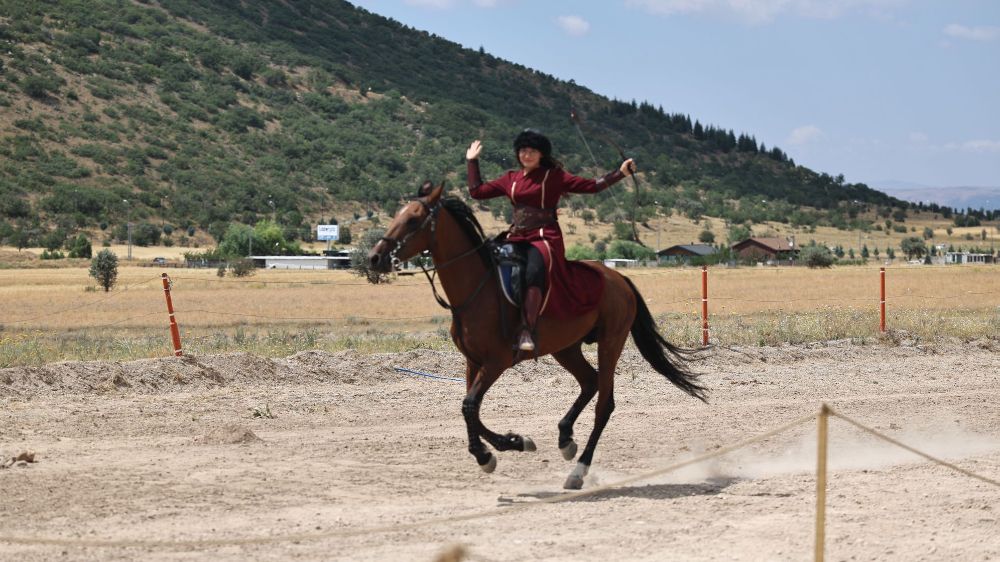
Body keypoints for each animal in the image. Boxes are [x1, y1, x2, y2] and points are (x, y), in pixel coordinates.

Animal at [372, 183, 708, 486]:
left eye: (413, 219)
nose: (375, 258)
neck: (478, 290)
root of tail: (619, 278)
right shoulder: (472, 362)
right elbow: (471, 410)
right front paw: (508, 444)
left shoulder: (495, 363)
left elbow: (469, 406)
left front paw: (492, 451)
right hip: (566, 348)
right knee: (589, 382)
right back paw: (565, 438)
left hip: (610, 342)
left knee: (604, 403)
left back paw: (578, 470)